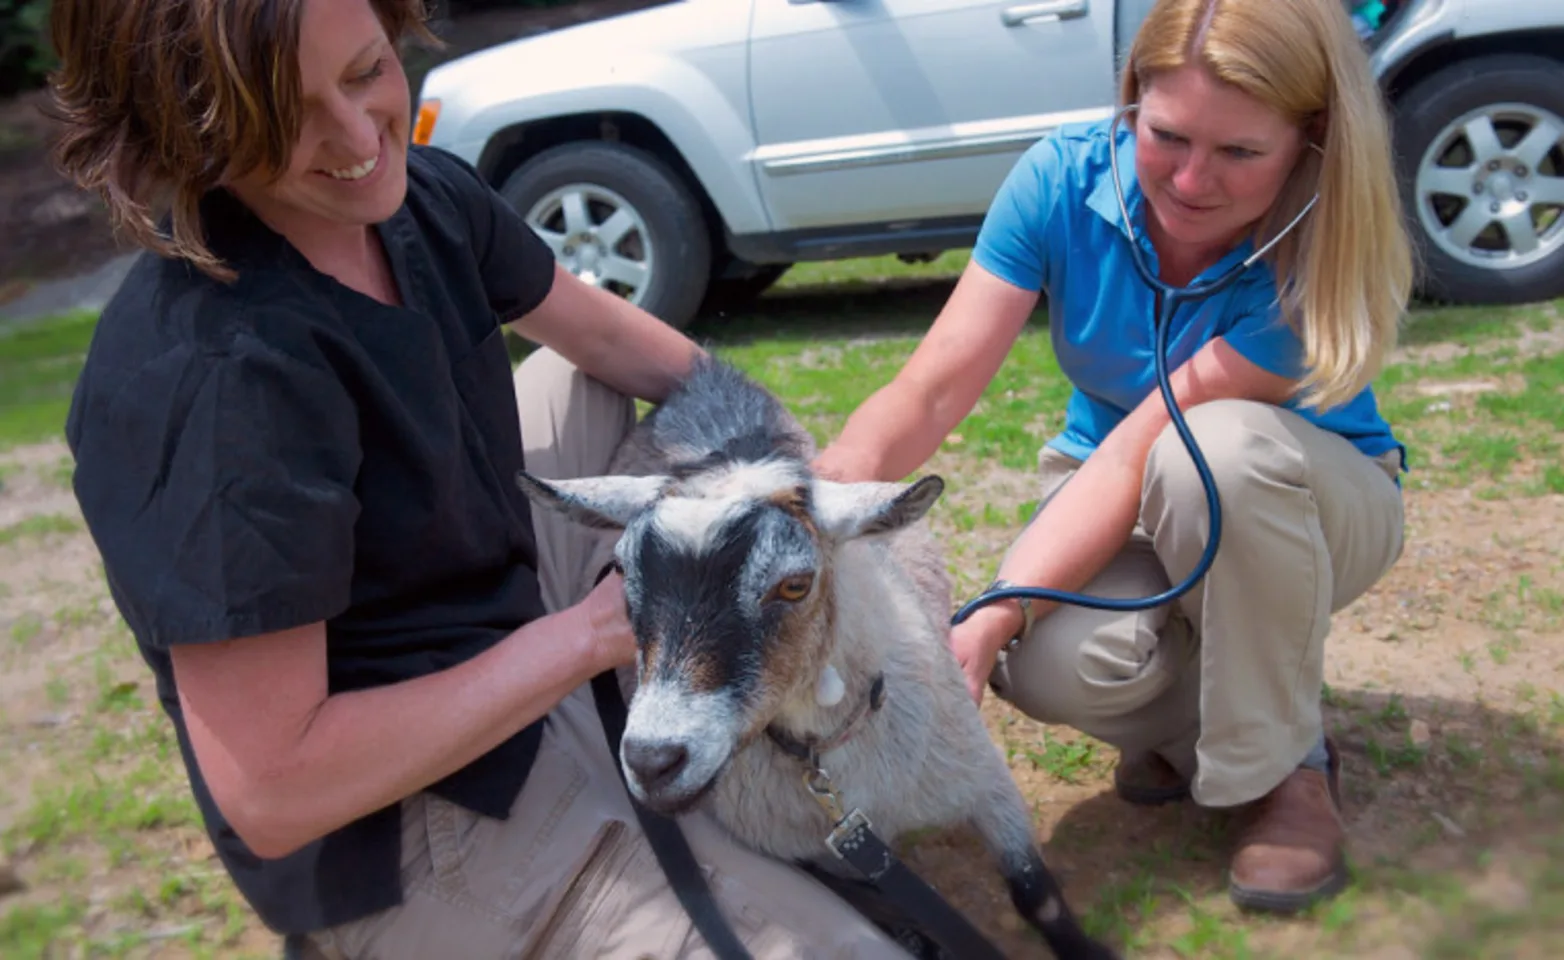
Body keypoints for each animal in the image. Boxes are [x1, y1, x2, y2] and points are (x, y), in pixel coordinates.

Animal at [519, 359, 1119, 960]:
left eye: (795, 584)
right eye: (621, 572)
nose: (651, 760)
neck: (832, 763)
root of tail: (704, 376)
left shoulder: (986, 780)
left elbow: (1036, 894)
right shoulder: (803, 856)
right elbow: (880, 905)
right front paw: (916, 935)